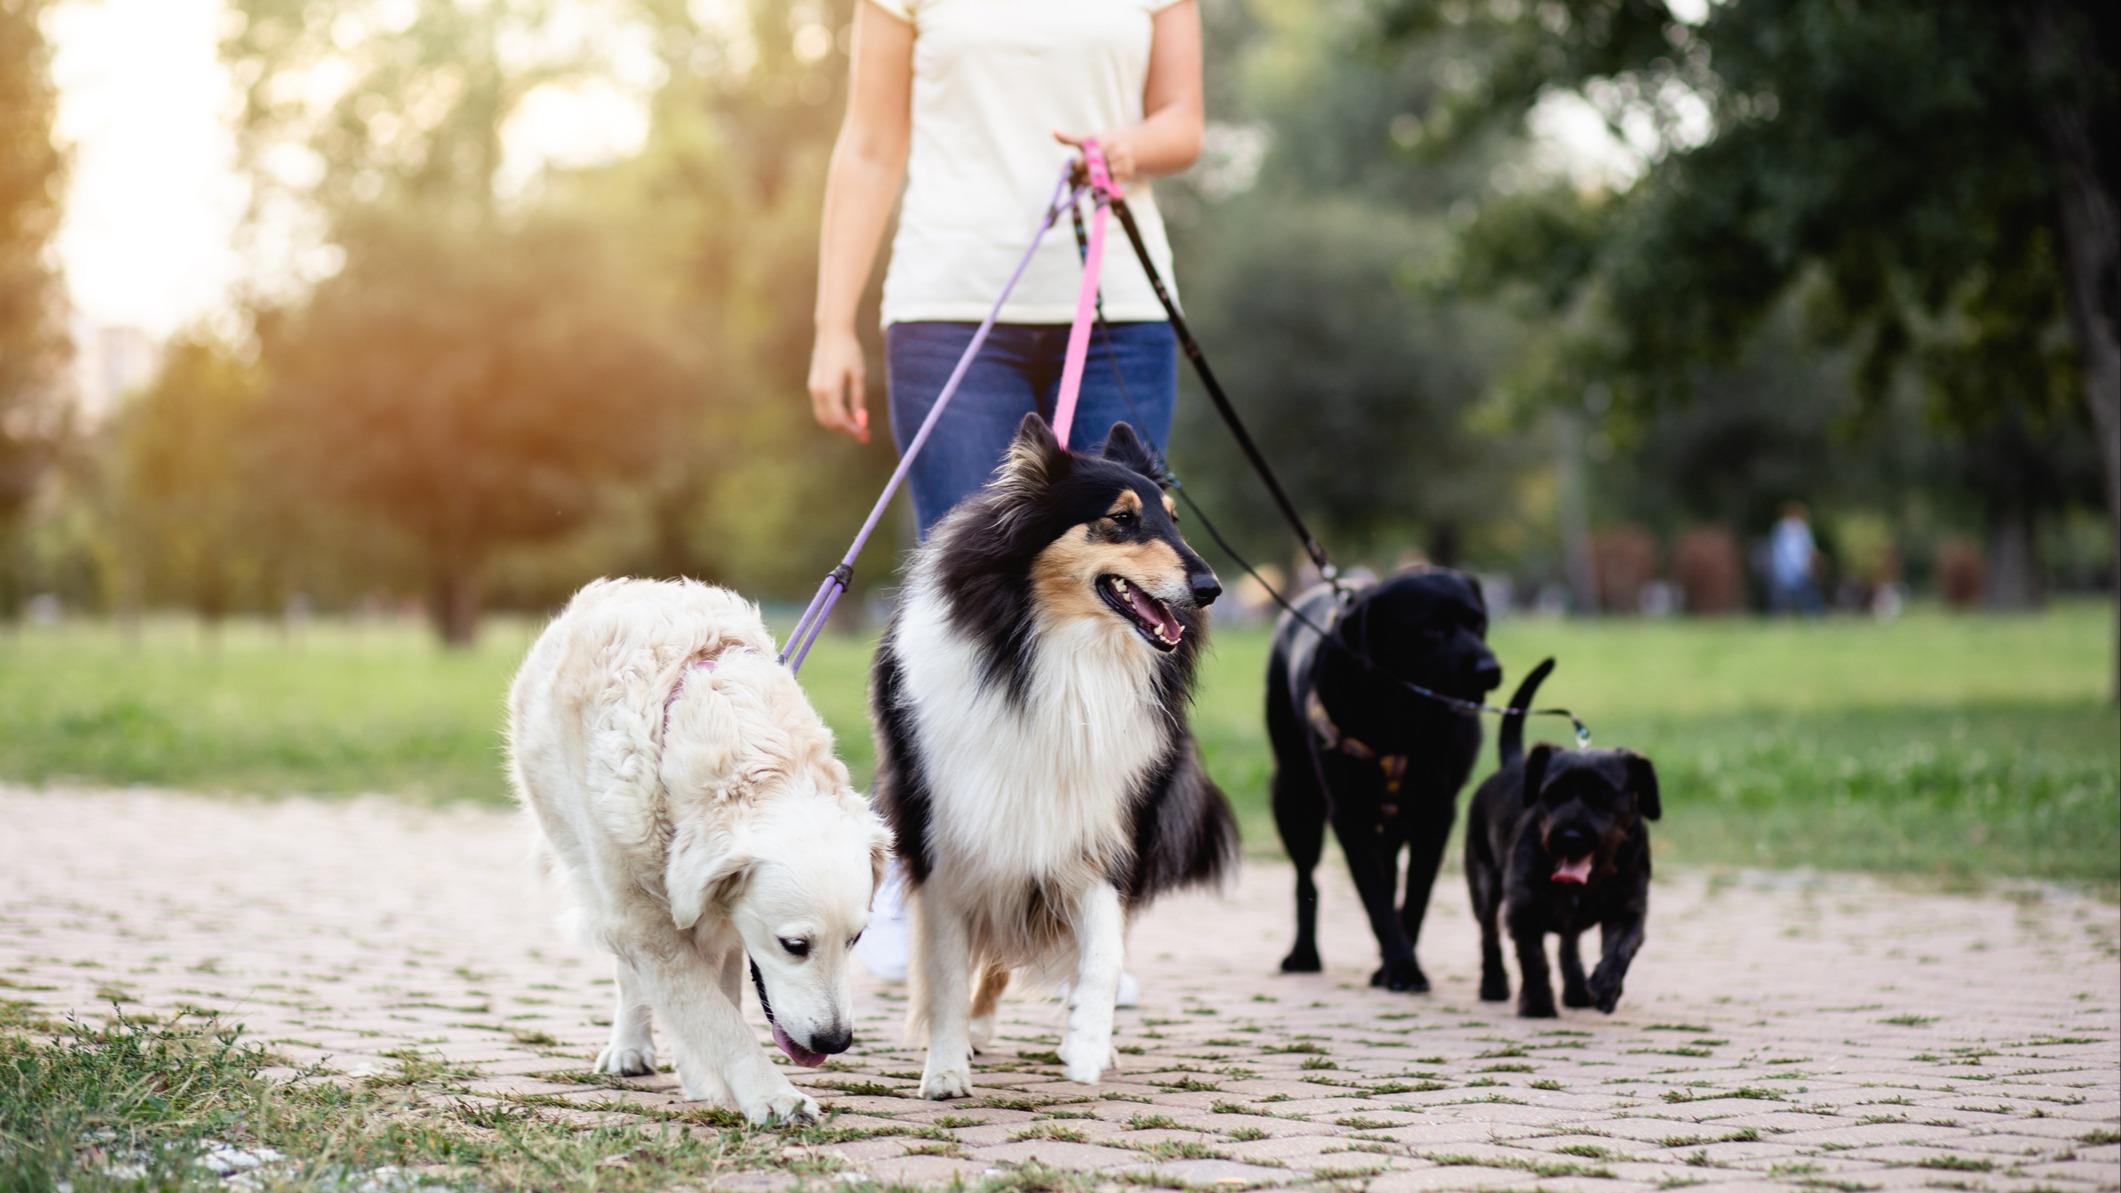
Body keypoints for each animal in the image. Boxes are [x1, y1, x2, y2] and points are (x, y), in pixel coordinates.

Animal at [513, 577, 895, 1112]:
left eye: (855, 939)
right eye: (795, 946)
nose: (834, 1042)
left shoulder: (716, 915)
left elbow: (718, 1001)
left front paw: (718, 1081)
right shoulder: (643, 920)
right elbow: (711, 1014)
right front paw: (772, 1096)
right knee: (630, 975)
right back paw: (629, 1048)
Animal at [873, 413, 1238, 1095]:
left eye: (1175, 518)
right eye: (1121, 518)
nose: (1211, 589)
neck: (1061, 653)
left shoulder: (1098, 827)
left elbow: (1102, 949)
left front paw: (1088, 1045)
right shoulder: (946, 832)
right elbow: (946, 965)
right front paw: (945, 1066)